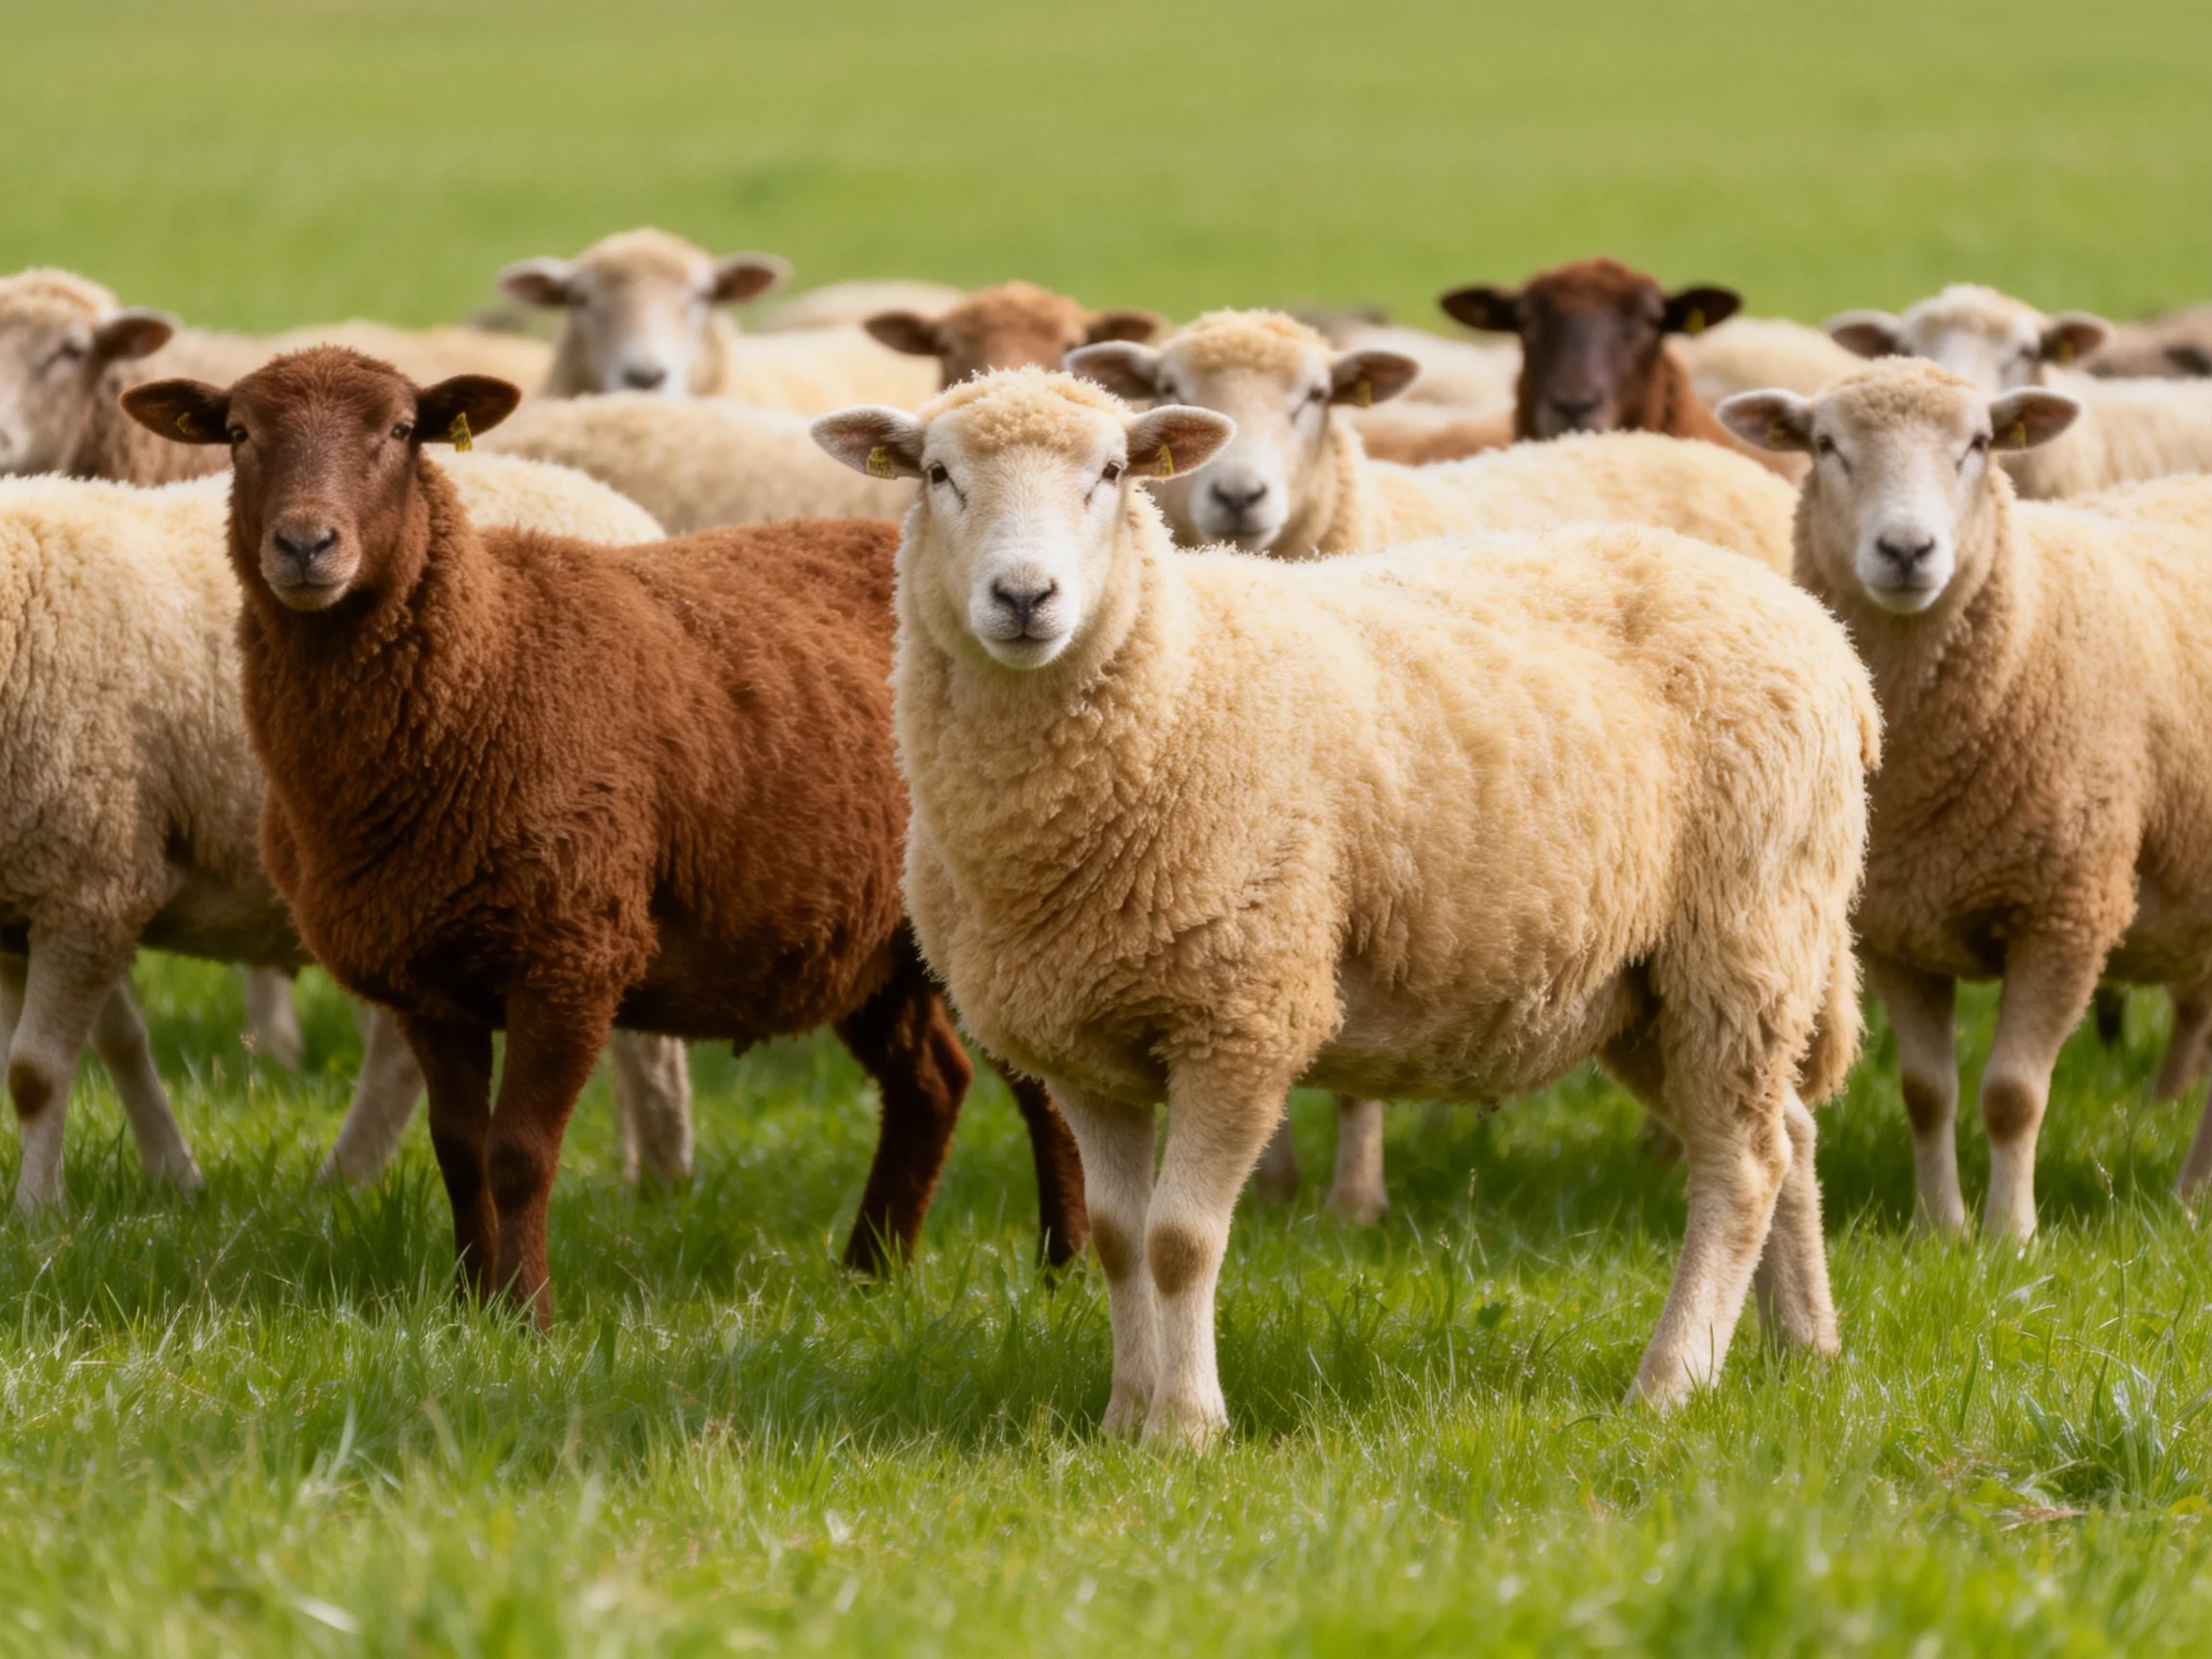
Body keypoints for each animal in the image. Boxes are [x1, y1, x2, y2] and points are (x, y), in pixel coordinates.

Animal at [0, 447, 690, 1215]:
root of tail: (624, 514)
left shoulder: (91, 880)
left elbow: (34, 1072)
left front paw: (37, 1214)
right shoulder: (42, 897)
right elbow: (116, 1041)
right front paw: (173, 1174)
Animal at [120, 347, 1087, 1315]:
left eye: (399, 431)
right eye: (239, 433)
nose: (306, 547)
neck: (487, 662)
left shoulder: (572, 953)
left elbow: (518, 1152)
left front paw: (527, 1317)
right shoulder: (428, 975)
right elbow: (459, 1152)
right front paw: (469, 1305)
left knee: (1043, 1093)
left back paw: (1061, 1269)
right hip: (870, 944)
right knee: (931, 1084)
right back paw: (868, 1273)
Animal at [1719, 361, 2212, 1236]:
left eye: (1979, 443)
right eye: (1826, 444)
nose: (1907, 549)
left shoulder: (2069, 911)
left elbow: (2013, 1094)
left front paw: (2010, 1235)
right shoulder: (1896, 927)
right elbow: (1926, 1092)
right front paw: (1939, 1229)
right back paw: (2190, 1198)